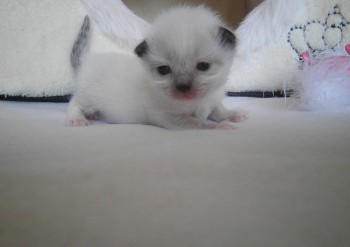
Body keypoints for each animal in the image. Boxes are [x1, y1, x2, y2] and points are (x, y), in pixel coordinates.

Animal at [65, 5, 246, 129]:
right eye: (163, 70)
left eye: (203, 66)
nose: (183, 87)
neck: (199, 100)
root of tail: (85, 62)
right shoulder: (168, 118)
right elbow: (198, 123)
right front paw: (219, 126)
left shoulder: (213, 98)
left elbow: (218, 110)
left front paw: (233, 115)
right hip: (86, 95)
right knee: (74, 103)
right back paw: (77, 119)